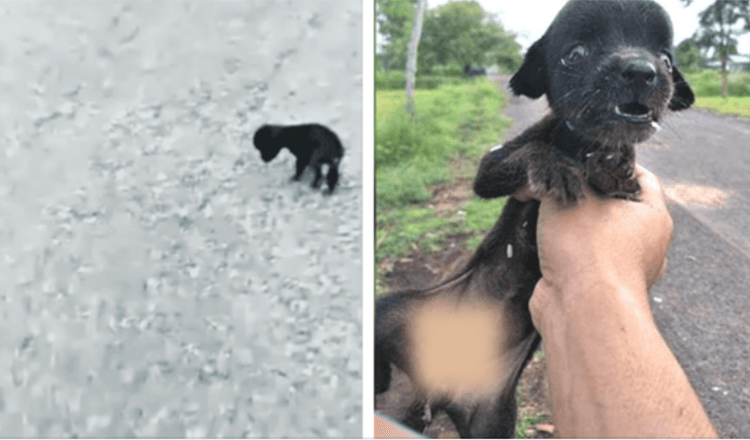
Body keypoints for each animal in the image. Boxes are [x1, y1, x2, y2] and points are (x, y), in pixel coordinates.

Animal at [378, 0, 696, 436]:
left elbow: (620, 167)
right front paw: (555, 167)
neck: (579, 145)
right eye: (575, 54)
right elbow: (532, 153)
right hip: (391, 310)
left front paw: (614, 163)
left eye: (666, 60)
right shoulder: (490, 168)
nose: (641, 69)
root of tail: (433, 394)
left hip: (491, 418)